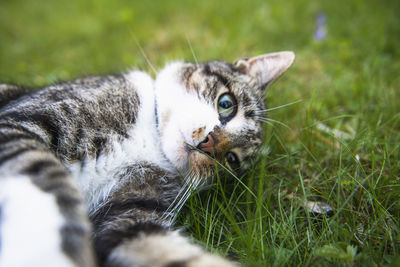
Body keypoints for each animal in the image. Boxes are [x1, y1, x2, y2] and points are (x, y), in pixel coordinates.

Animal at [0, 51, 294, 266]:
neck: (151, 143)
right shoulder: (23, 122)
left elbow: (163, 249)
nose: (209, 145)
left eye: (231, 160)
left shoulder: (130, 214)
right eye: (226, 104)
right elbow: (43, 177)